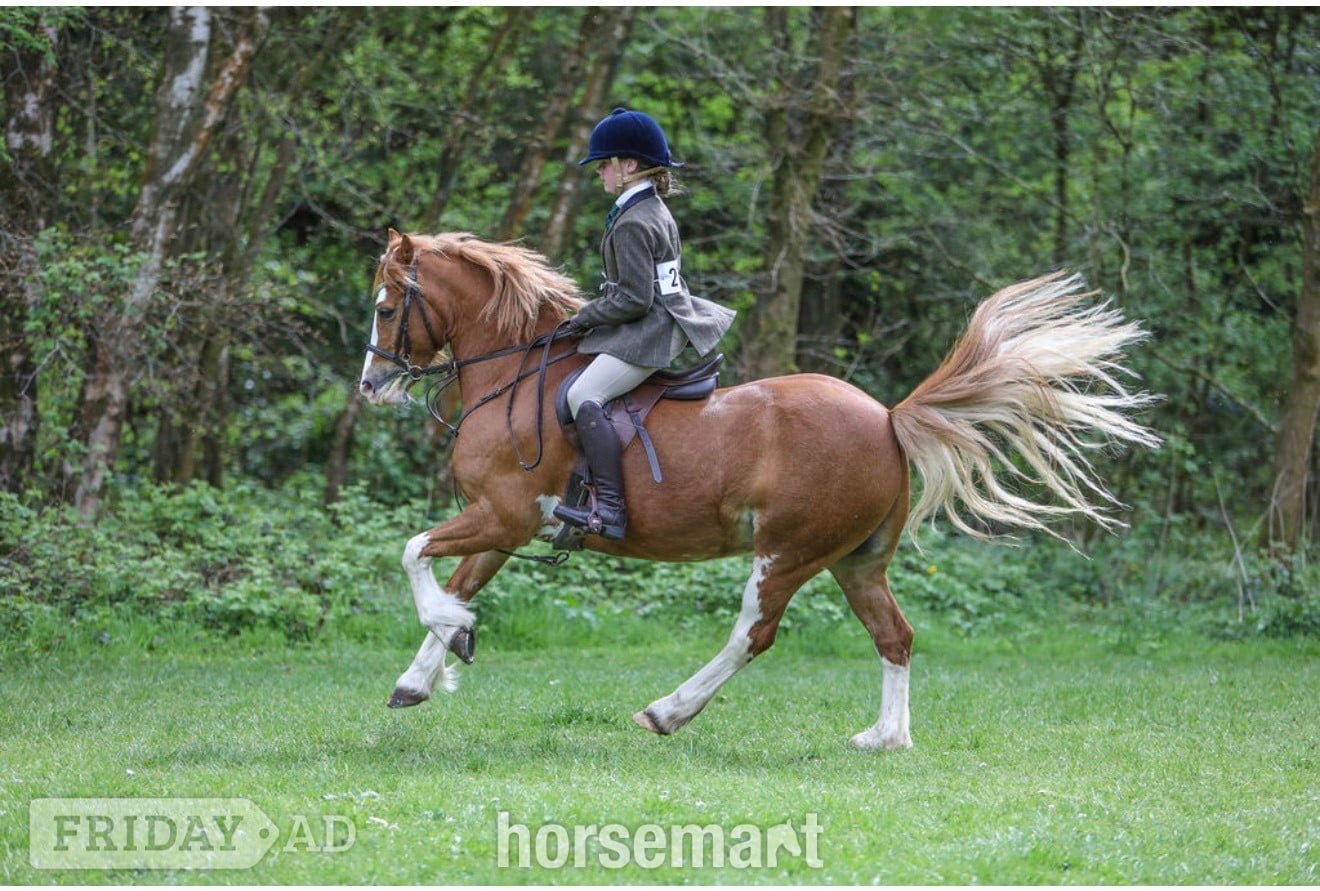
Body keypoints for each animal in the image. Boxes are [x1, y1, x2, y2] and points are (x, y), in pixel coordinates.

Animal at [357, 229, 1159, 750]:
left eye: (388, 305)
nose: (370, 385)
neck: (517, 373)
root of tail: (887, 419)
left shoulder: (504, 514)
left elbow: (414, 554)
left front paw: (451, 633)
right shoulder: (505, 522)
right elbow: (456, 578)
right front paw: (423, 672)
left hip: (788, 552)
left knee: (754, 633)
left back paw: (668, 712)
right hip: (855, 560)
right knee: (893, 634)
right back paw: (885, 738)